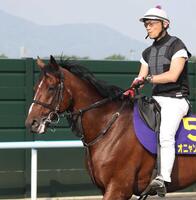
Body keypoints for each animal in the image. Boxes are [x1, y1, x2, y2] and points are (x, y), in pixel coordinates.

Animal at [25, 55, 196, 199]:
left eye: (51, 88)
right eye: (35, 88)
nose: (31, 122)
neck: (109, 126)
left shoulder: (119, 188)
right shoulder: (106, 188)